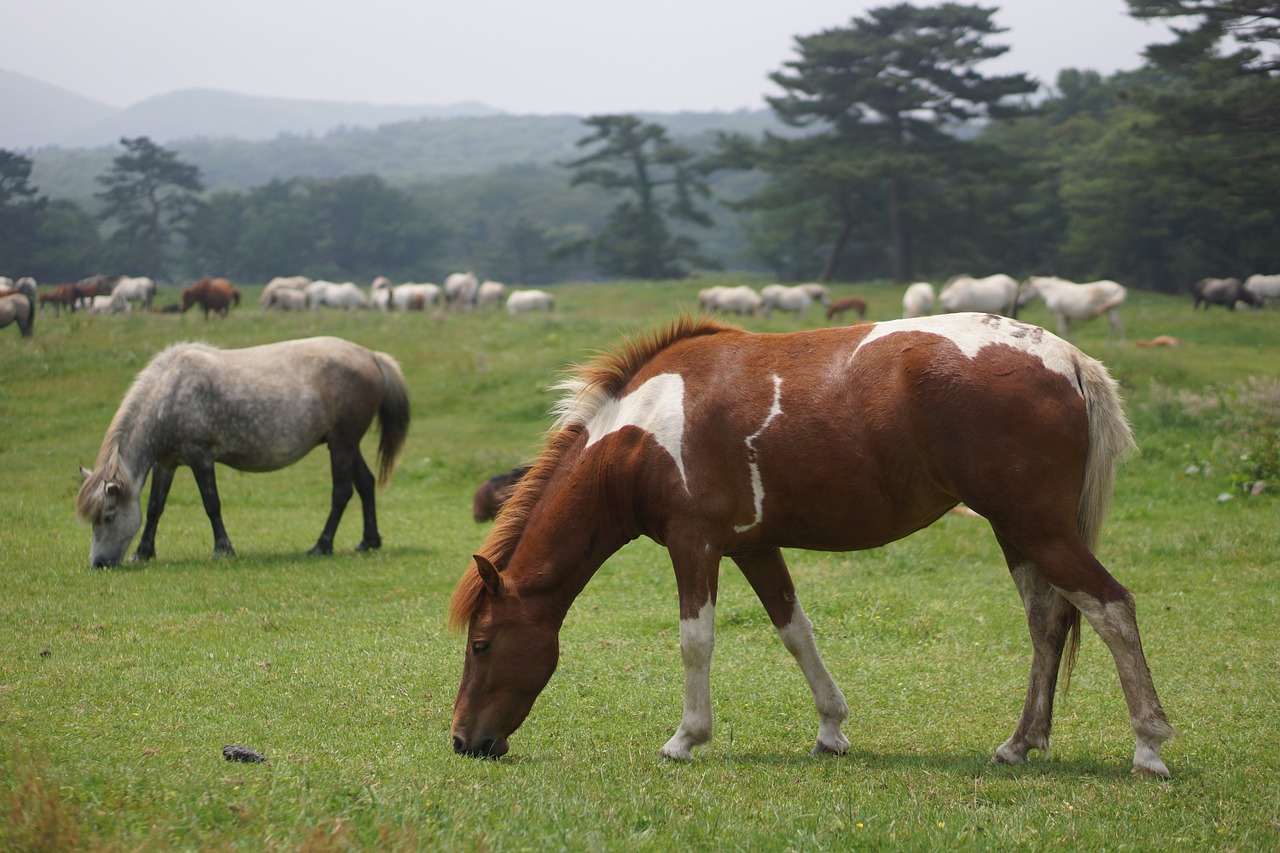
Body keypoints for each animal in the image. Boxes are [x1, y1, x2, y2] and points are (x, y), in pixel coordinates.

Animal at [77, 335, 407, 568]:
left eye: (107, 516)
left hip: (341, 444)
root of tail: (372, 357)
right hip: (347, 444)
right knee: (365, 484)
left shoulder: (200, 457)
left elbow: (212, 504)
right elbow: (155, 507)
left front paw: (222, 548)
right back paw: (368, 541)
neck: (169, 395)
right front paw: (143, 552)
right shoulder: (166, 463)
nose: (99, 563)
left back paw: (322, 545)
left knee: (342, 492)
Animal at [450, 313, 1177, 778]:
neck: (641, 432)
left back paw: (1149, 746)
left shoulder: (694, 545)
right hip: (1019, 532)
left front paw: (686, 737)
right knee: (1048, 622)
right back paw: (1020, 744)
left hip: (1036, 528)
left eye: (481, 644)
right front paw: (831, 729)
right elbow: (794, 630)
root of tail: (1068, 359)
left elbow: (695, 641)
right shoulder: (752, 547)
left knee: (1112, 607)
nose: (463, 740)